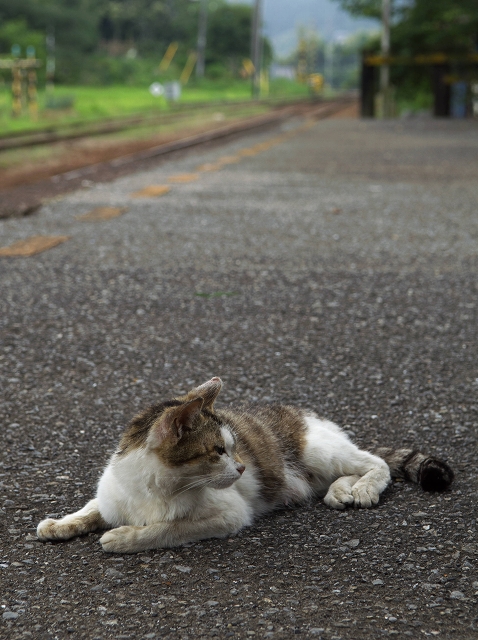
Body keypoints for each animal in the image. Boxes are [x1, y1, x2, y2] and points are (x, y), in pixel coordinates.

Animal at [36, 378, 452, 552]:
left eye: (234, 449)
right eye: (218, 450)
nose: (240, 469)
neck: (156, 489)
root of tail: (304, 413)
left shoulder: (229, 515)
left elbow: (167, 529)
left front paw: (123, 538)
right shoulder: (111, 498)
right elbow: (90, 509)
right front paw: (61, 524)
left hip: (320, 450)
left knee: (376, 462)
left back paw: (362, 487)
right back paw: (340, 491)